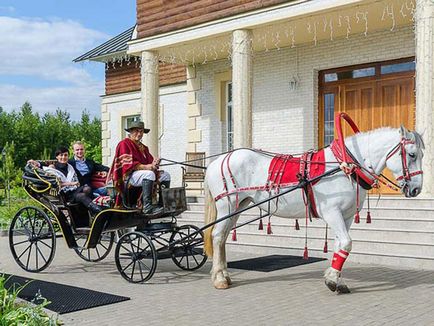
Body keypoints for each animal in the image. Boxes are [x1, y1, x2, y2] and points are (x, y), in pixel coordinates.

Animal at [203, 125, 424, 292]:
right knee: (217, 236)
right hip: (227, 205)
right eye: (412, 154)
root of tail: (219, 160)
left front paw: (335, 279)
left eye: (421, 154)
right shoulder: (332, 213)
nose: (416, 189)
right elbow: (346, 243)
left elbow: (339, 246)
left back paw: (224, 275)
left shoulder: (346, 216)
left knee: (223, 237)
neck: (345, 167)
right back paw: (219, 278)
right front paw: (333, 279)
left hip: (238, 206)